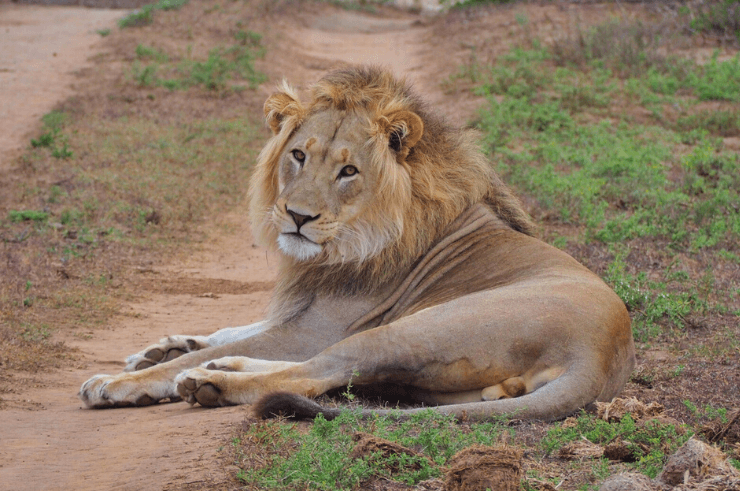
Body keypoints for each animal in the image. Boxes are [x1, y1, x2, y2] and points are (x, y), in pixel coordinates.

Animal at [79, 63, 636, 420]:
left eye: (349, 171)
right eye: (298, 155)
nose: (298, 217)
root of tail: (601, 353)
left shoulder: (317, 326)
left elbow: (249, 345)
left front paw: (122, 381)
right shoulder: (300, 313)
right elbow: (232, 328)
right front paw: (164, 347)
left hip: (413, 328)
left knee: (312, 373)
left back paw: (211, 382)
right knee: (332, 373)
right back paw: (219, 365)